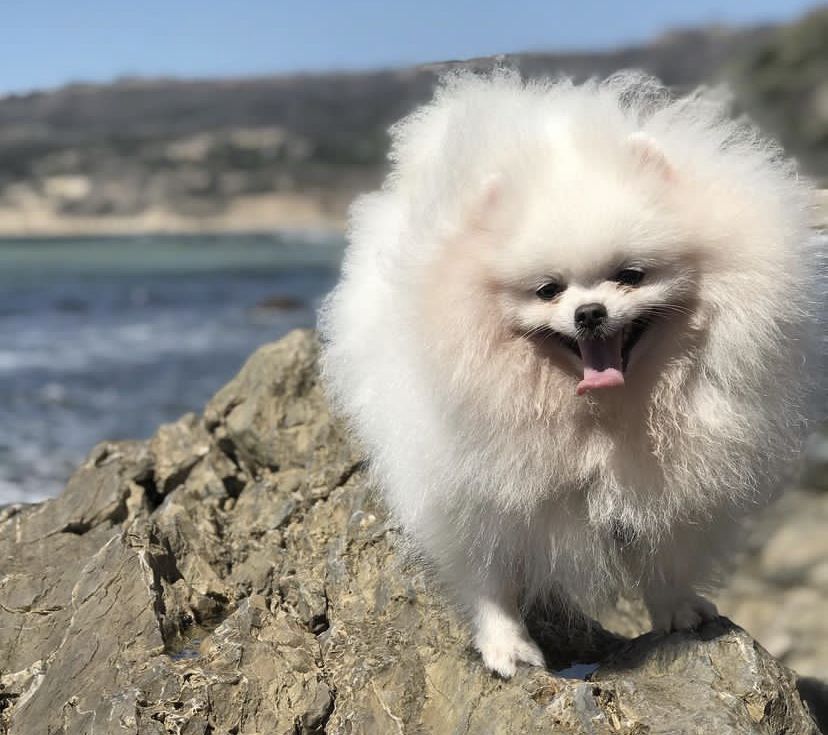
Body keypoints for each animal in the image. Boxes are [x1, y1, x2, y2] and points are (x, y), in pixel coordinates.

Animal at [320, 72, 820, 676]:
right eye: (548, 290)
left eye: (631, 275)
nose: (589, 313)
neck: (602, 414)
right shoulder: (473, 491)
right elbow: (489, 577)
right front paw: (507, 646)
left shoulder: (675, 481)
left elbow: (666, 554)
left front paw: (677, 610)